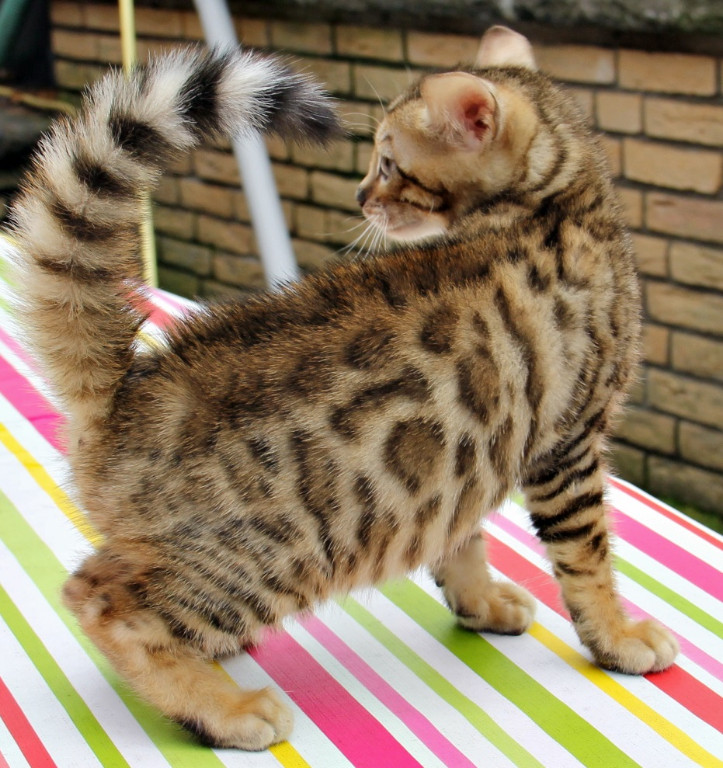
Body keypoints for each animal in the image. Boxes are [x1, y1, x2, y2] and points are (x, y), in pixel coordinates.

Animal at [9, 26, 678, 751]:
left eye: (387, 163)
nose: (360, 196)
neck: (556, 206)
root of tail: (124, 394)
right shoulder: (569, 444)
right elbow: (588, 557)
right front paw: (617, 637)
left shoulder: (463, 459)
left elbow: (463, 537)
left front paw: (480, 602)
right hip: (280, 552)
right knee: (100, 598)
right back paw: (224, 709)